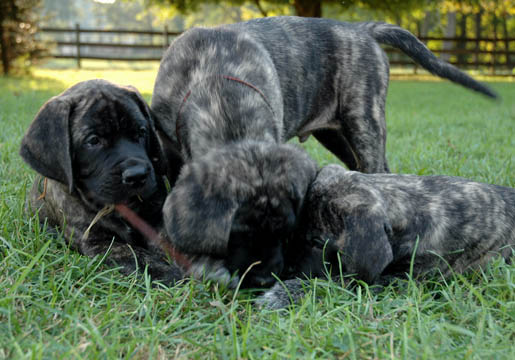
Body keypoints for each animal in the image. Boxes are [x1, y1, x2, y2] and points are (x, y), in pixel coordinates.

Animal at [21, 79, 184, 284]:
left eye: (141, 132)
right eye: (93, 140)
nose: (137, 175)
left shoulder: (156, 218)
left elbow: (165, 241)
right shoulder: (96, 241)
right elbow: (132, 254)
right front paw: (166, 272)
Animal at [151, 16, 498, 286]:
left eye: (288, 234)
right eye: (237, 234)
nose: (266, 279)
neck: (218, 94)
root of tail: (361, 29)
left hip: (363, 120)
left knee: (377, 167)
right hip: (335, 135)